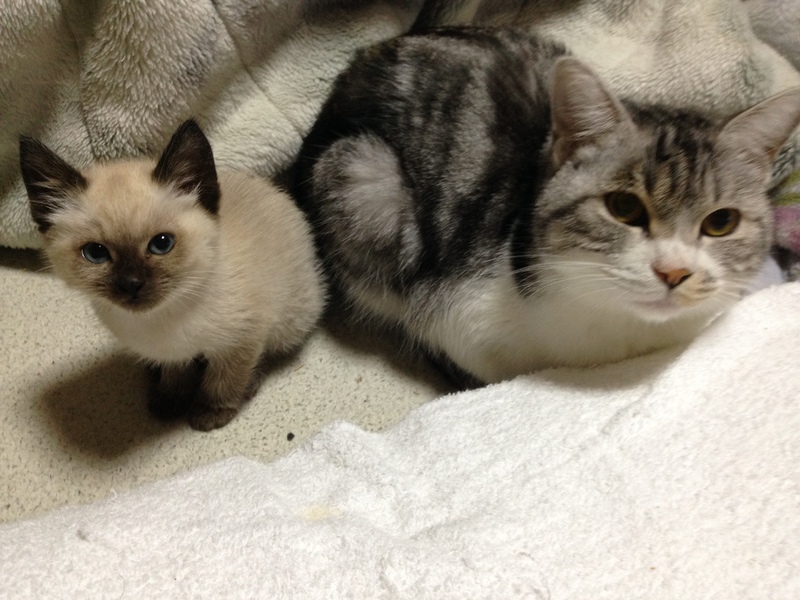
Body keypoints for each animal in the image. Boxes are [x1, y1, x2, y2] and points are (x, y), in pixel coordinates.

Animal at [20, 119, 325, 430]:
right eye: (95, 253)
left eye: (162, 244)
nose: (132, 285)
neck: (159, 320)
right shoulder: (171, 352)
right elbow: (176, 373)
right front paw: (170, 399)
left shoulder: (243, 340)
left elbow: (225, 379)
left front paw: (211, 411)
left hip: (291, 319)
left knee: (273, 351)